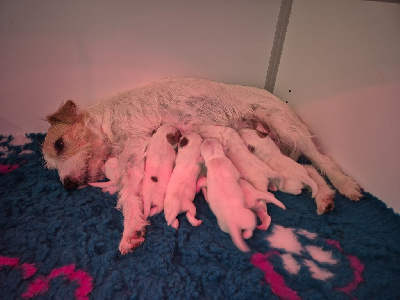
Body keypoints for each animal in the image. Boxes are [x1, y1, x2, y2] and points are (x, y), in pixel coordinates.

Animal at [42, 77, 364, 253]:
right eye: (50, 166)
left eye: (59, 144)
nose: (66, 185)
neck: (107, 122)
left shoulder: (133, 149)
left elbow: (130, 194)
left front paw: (131, 230)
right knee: (309, 170)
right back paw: (324, 197)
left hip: (286, 126)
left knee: (322, 161)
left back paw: (346, 186)